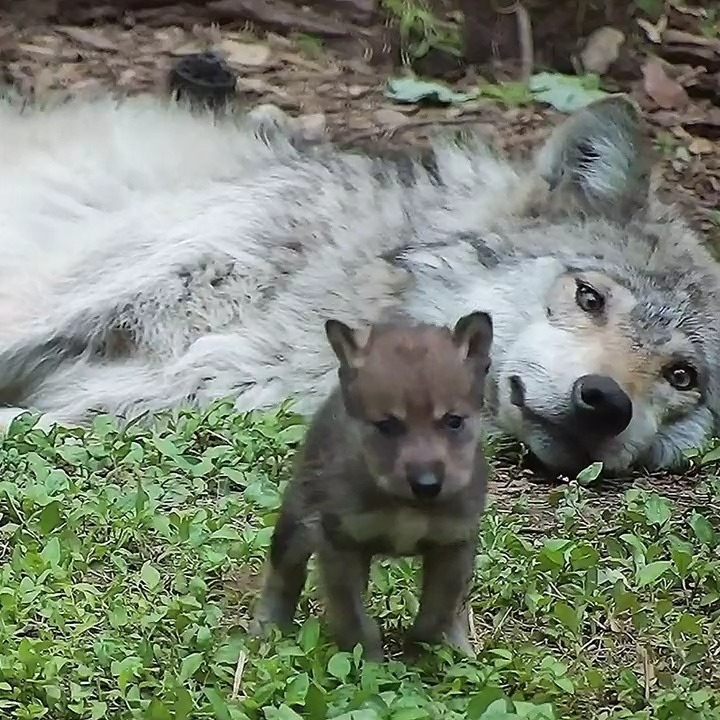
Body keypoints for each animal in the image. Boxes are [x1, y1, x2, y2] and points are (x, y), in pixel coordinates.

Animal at [251, 310, 493, 660]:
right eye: (387, 425)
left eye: (453, 421)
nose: (427, 484)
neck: (405, 506)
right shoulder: (340, 543)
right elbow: (354, 619)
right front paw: (370, 662)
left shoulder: (453, 544)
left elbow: (436, 614)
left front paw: (421, 654)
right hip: (296, 521)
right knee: (283, 574)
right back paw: (267, 628)